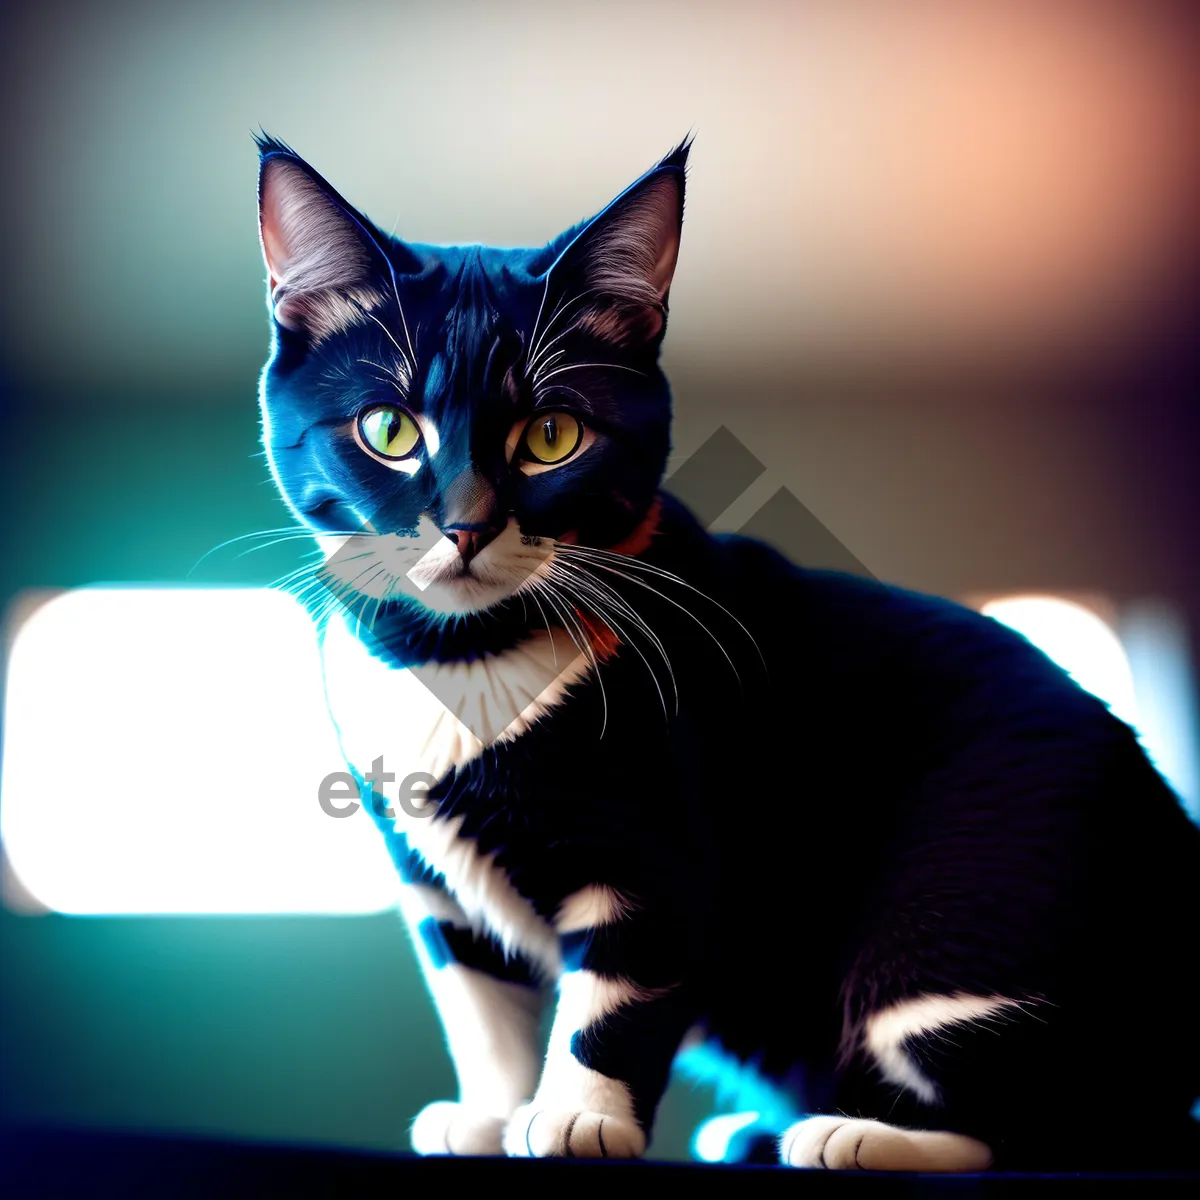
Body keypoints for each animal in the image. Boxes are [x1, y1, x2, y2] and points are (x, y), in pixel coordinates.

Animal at [253, 133, 1200, 1171]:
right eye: (389, 430)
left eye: (552, 436)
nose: (465, 525)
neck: (461, 654)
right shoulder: (437, 889)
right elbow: (481, 1005)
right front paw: (490, 1113)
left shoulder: (657, 835)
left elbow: (620, 989)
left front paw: (578, 1117)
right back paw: (762, 1130)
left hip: (967, 906)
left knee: (1056, 1125)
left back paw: (856, 1136)